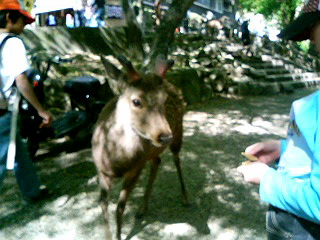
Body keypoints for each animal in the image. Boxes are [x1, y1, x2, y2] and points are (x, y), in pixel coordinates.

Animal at [91, 55, 189, 240]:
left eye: (165, 100)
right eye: (136, 101)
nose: (165, 136)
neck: (116, 160)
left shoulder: (135, 168)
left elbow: (120, 208)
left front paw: (119, 236)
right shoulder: (102, 171)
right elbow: (103, 204)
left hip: (178, 131)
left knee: (176, 159)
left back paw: (185, 197)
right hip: (151, 152)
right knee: (157, 161)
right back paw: (143, 208)